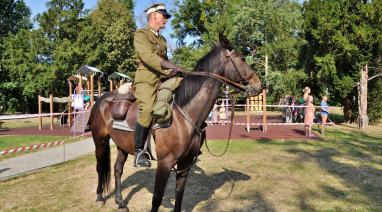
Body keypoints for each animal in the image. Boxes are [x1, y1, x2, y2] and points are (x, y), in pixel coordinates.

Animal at [89, 34, 262, 211]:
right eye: (242, 58)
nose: (259, 85)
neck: (184, 115)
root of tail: (102, 99)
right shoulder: (165, 163)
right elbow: (157, 198)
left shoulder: (185, 163)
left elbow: (179, 194)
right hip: (100, 141)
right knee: (100, 167)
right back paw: (99, 197)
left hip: (122, 145)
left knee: (117, 169)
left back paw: (120, 202)